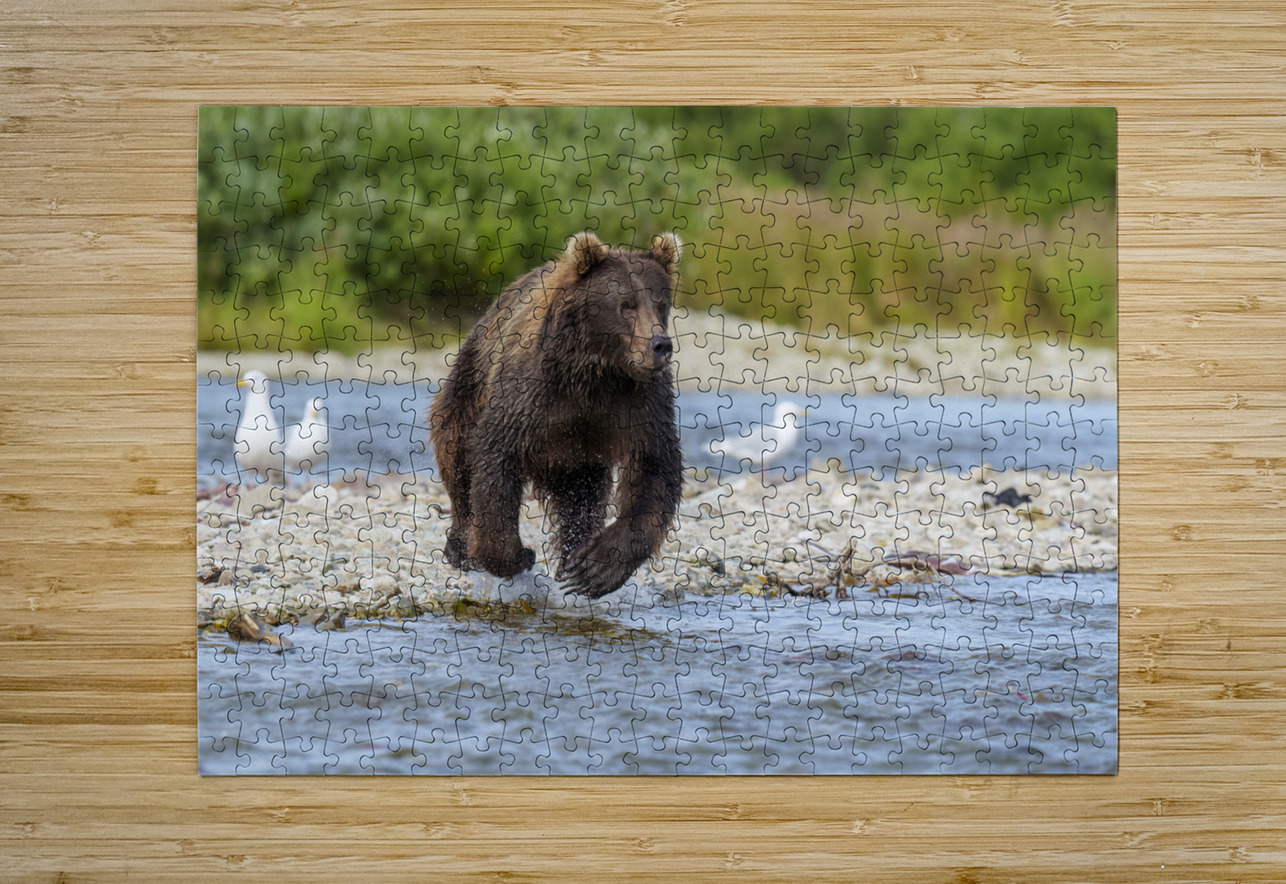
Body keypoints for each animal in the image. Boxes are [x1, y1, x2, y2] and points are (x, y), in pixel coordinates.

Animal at [430, 231, 684, 599]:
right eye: (626, 304)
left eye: (661, 303)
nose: (660, 345)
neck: (593, 372)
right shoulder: (530, 392)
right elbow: (494, 460)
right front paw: (515, 555)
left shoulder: (640, 399)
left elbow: (655, 467)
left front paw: (594, 567)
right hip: (469, 382)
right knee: (457, 457)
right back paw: (460, 546)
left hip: (577, 458)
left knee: (581, 501)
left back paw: (571, 558)